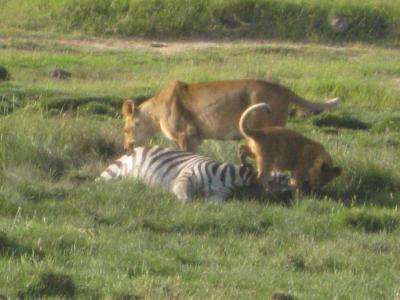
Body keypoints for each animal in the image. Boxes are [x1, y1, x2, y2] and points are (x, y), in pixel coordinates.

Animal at [121, 79, 338, 152]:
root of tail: (284, 89)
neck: (155, 114)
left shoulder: (185, 134)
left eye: (125, 130)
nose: (125, 147)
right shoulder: (195, 138)